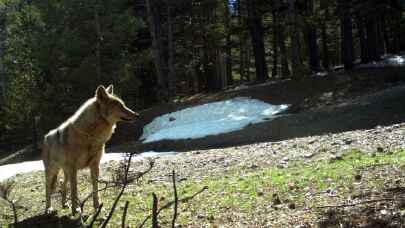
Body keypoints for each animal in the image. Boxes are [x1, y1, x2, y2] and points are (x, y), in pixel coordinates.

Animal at [41, 84, 139, 215]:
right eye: (120, 106)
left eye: (124, 105)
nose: (137, 115)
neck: (90, 135)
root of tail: (45, 137)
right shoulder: (73, 169)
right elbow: (75, 190)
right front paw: (76, 210)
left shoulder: (94, 165)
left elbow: (95, 189)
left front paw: (97, 208)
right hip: (52, 171)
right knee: (48, 189)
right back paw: (49, 209)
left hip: (65, 172)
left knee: (62, 184)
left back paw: (64, 204)